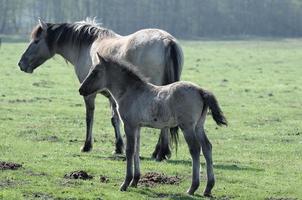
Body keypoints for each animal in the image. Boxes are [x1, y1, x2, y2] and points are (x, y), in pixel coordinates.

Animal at [18, 19, 184, 161]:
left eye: (36, 41)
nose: (21, 63)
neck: (87, 45)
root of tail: (166, 40)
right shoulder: (113, 96)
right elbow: (114, 119)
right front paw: (118, 147)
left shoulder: (89, 94)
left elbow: (89, 117)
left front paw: (87, 145)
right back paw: (160, 151)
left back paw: (161, 152)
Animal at [79, 54, 228, 196]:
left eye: (95, 72)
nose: (81, 90)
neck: (130, 91)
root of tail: (200, 91)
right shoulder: (138, 127)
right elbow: (137, 150)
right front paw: (135, 181)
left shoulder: (129, 125)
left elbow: (129, 150)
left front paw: (125, 183)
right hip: (198, 126)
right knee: (207, 147)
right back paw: (208, 188)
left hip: (187, 127)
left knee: (195, 149)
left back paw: (192, 188)